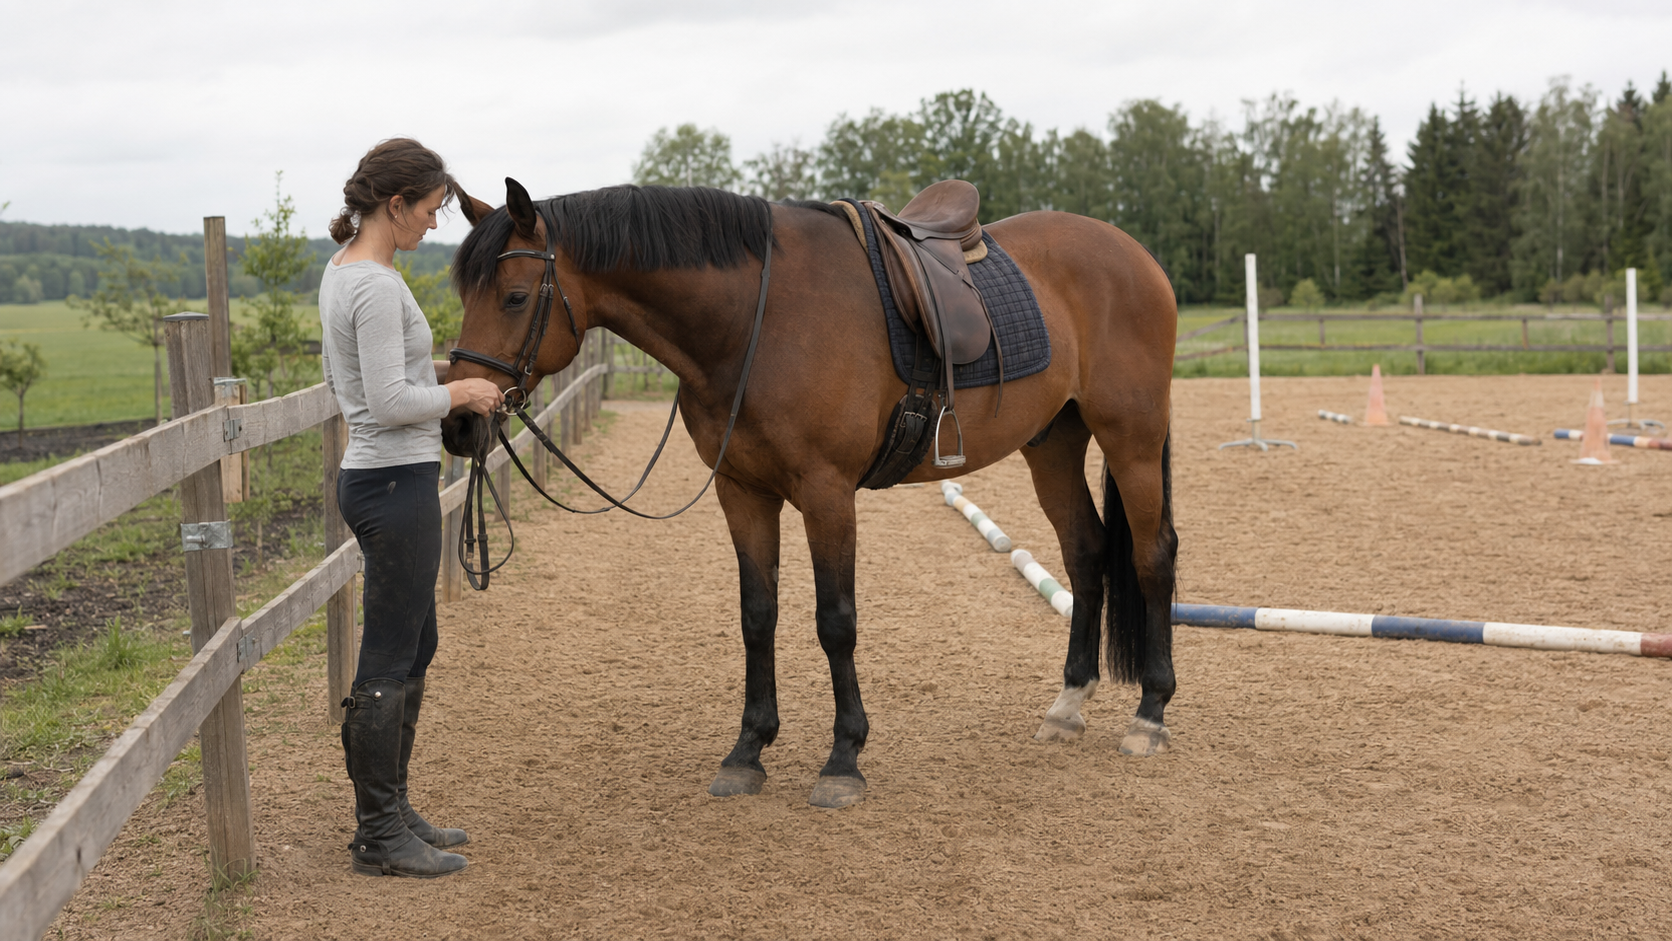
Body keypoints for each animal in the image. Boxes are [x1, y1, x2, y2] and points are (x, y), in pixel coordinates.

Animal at [441, 178, 1178, 809]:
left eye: (513, 296)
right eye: (465, 294)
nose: (459, 423)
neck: (753, 321)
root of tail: (1136, 255)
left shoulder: (827, 494)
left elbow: (835, 621)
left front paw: (843, 758)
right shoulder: (742, 492)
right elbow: (757, 616)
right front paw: (747, 750)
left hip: (1132, 440)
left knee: (1152, 557)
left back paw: (1150, 714)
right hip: (1052, 443)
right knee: (1085, 552)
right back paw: (1068, 704)